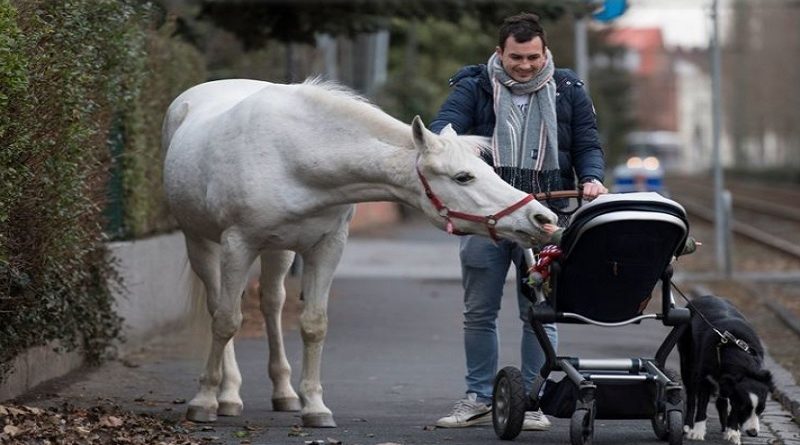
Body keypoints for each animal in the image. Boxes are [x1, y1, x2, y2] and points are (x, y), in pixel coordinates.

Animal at [162, 79, 556, 426]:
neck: (293, 156)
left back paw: (283, 392)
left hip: (278, 251)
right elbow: (226, 321)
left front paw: (315, 408)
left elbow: (314, 325)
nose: (543, 218)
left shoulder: (327, 247)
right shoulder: (238, 244)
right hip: (202, 243)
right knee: (219, 306)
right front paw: (203, 402)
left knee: (271, 304)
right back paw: (227, 395)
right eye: (463, 177)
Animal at [680, 294, 772, 442]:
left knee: (721, 401)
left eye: (761, 409)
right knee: (691, 395)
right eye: (744, 409)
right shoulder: (705, 377)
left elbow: (731, 407)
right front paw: (697, 433)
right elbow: (702, 405)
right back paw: (688, 426)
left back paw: (725, 427)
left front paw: (733, 432)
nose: (753, 433)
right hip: (687, 360)